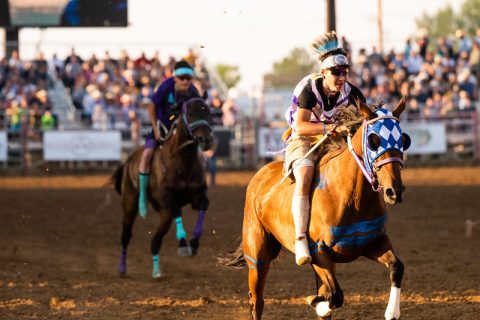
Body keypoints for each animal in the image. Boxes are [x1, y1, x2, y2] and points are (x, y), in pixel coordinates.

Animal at [113, 97, 213, 278]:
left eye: (209, 112)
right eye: (190, 113)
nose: (206, 140)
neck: (181, 162)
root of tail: (128, 161)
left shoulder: (197, 195)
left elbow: (203, 206)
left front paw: (194, 242)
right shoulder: (167, 199)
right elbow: (177, 211)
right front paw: (183, 245)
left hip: (162, 213)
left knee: (155, 241)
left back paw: (156, 271)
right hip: (130, 204)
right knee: (126, 236)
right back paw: (122, 269)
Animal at [221, 99, 412, 318]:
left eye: (403, 139)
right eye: (374, 140)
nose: (394, 191)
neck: (350, 197)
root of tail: (260, 174)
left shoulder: (374, 243)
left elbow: (397, 267)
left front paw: (392, 312)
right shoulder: (319, 252)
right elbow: (335, 296)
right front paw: (314, 301)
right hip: (257, 254)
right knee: (257, 300)